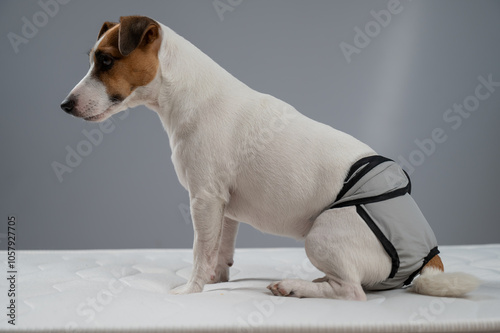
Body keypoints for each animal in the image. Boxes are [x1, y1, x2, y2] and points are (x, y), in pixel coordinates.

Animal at [60, 15, 478, 300]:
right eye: (95, 59)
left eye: (106, 61)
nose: (65, 105)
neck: (188, 93)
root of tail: (430, 258)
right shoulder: (223, 206)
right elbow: (220, 248)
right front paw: (216, 278)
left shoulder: (203, 199)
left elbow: (199, 250)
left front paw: (191, 289)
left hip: (321, 236)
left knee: (352, 292)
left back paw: (293, 286)